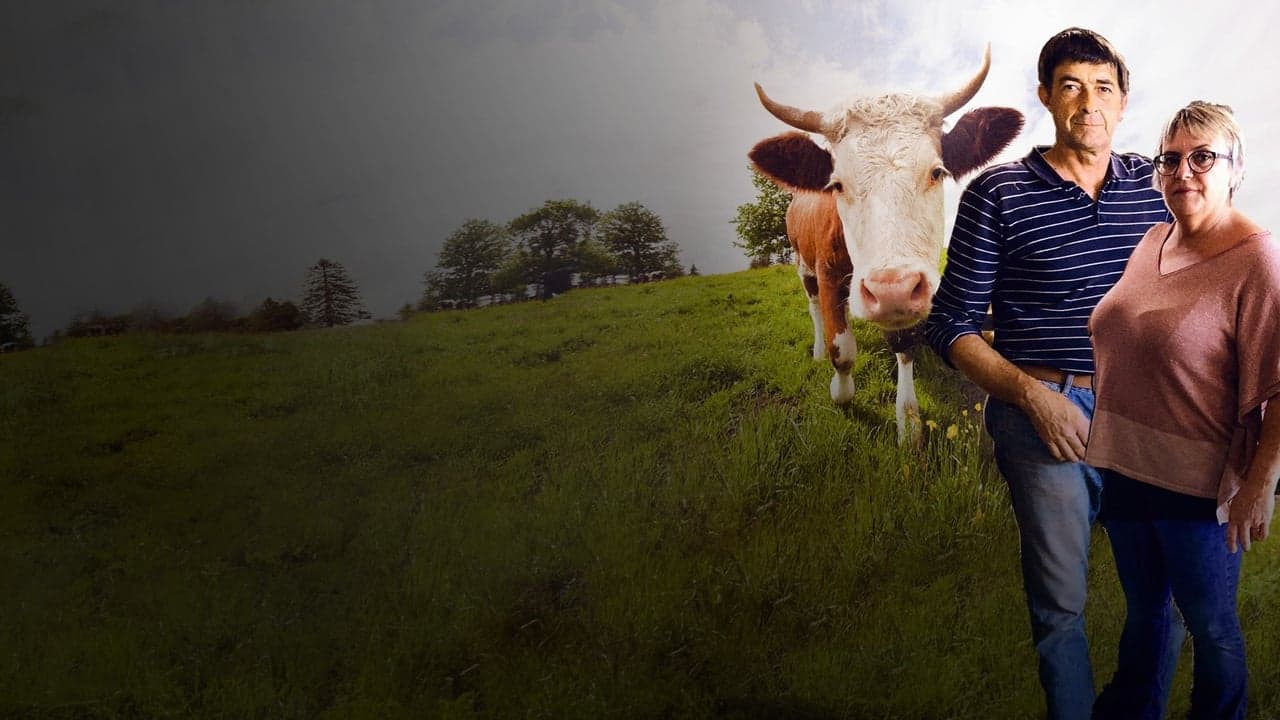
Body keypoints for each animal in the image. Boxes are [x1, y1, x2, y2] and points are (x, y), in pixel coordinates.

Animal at [747, 46, 1018, 443]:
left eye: (937, 172)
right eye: (837, 185)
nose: (890, 290)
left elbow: (904, 345)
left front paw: (909, 422)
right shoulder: (828, 274)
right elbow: (841, 349)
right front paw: (841, 393)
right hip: (802, 264)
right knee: (813, 308)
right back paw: (816, 349)